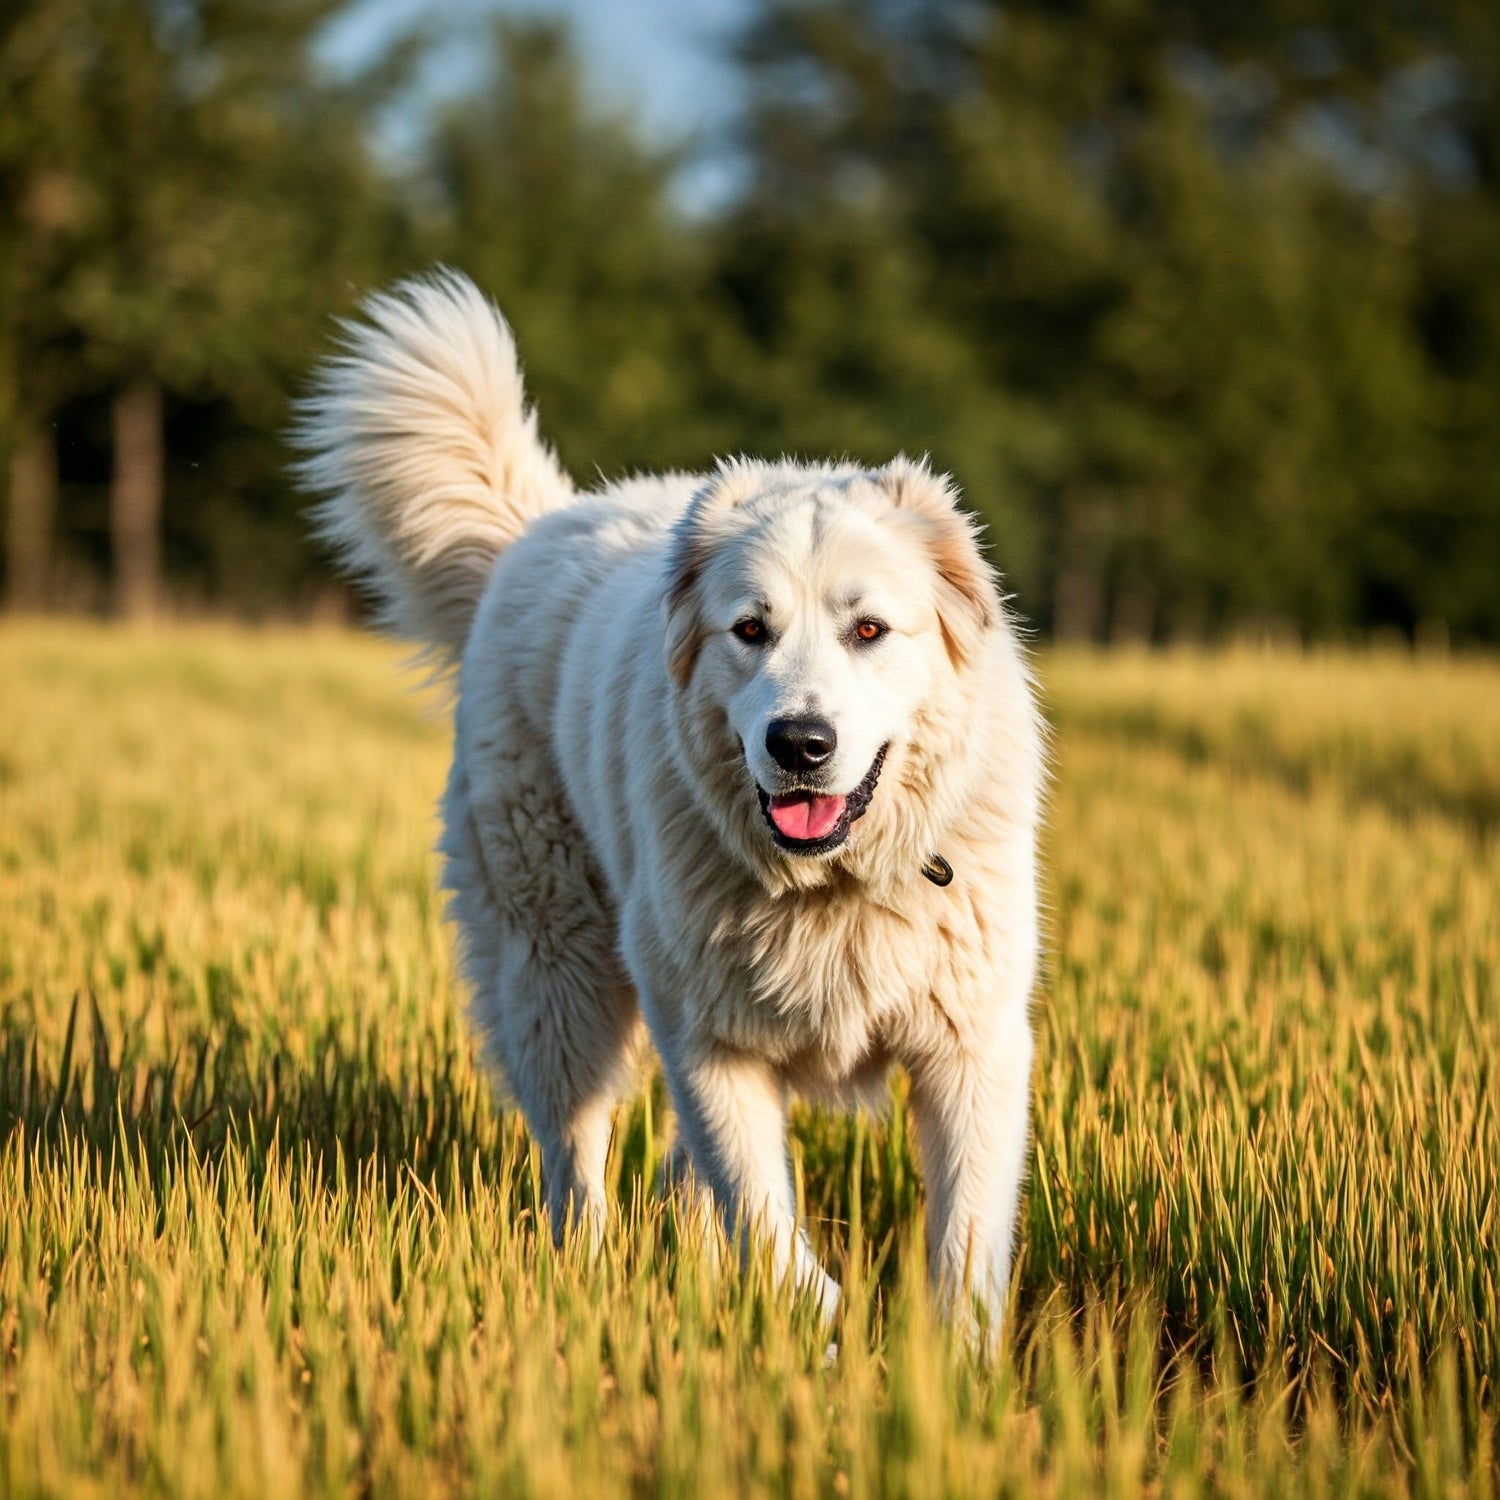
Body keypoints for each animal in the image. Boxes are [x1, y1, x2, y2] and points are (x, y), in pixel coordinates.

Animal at [292, 270, 1044, 1338]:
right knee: (576, 1154)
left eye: (868, 629)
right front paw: (825, 1340)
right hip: (557, 967)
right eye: (750, 629)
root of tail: (540, 525)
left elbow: (963, 1245)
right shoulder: (712, 1048)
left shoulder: (970, 1051)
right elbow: (767, 1224)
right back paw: (583, 1276)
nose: (800, 744)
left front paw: (956, 1370)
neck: (830, 889)